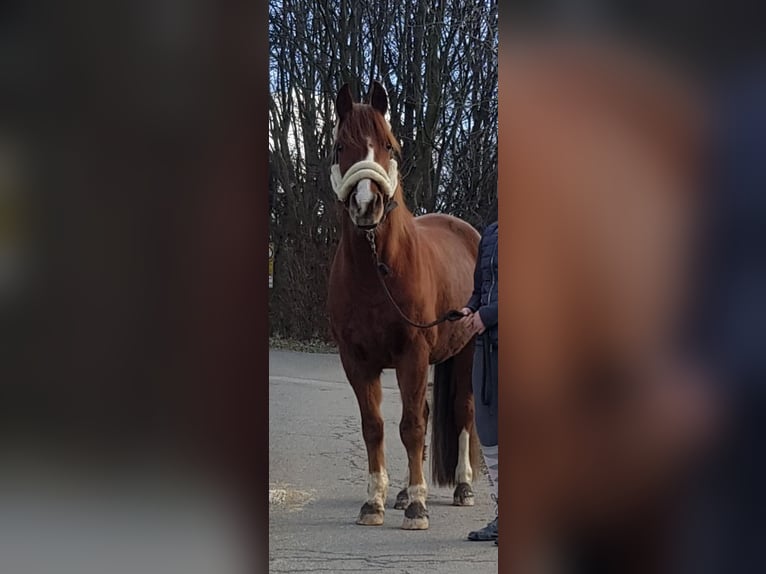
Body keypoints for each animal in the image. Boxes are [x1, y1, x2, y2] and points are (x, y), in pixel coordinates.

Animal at [328, 80, 484, 532]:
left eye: (388, 145)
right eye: (340, 146)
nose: (366, 205)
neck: (377, 271)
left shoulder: (412, 354)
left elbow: (412, 427)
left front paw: (418, 507)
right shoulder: (356, 360)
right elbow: (376, 427)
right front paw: (375, 502)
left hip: (465, 351)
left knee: (463, 411)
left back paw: (462, 487)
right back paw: (400, 493)